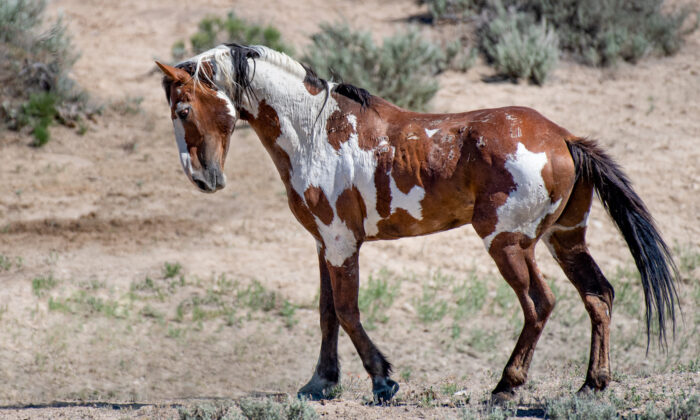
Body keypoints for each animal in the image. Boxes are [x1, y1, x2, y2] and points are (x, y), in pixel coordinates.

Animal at [154, 44, 680, 402]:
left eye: (183, 109)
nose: (203, 178)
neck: (316, 132)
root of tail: (564, 137)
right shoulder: (325, 245)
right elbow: (326, 313)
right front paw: (321, 382)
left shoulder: (342, 243)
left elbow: (347, 312)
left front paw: (382, 380)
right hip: (564, 239)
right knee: (598, 296)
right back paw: (593, 383)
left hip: (508, 244)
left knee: (540, 304)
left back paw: (506, 386)